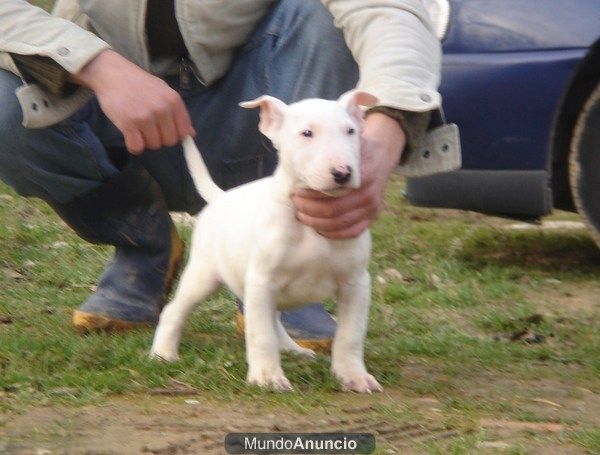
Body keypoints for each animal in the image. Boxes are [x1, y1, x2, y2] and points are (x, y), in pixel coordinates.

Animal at [152, 91, 382, 394]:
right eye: (306, 133)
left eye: (351, 131)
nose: (343, 173)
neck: (308, 224)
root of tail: (221, 198)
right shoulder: (262, 280)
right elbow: (260, 334)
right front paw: (268, 377)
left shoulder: (355, 285)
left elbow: (350, 336)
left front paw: (354, 376)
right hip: (204, 275)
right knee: (175, 310)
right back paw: (163, 353)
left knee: (272, 318)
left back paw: (292, 349)